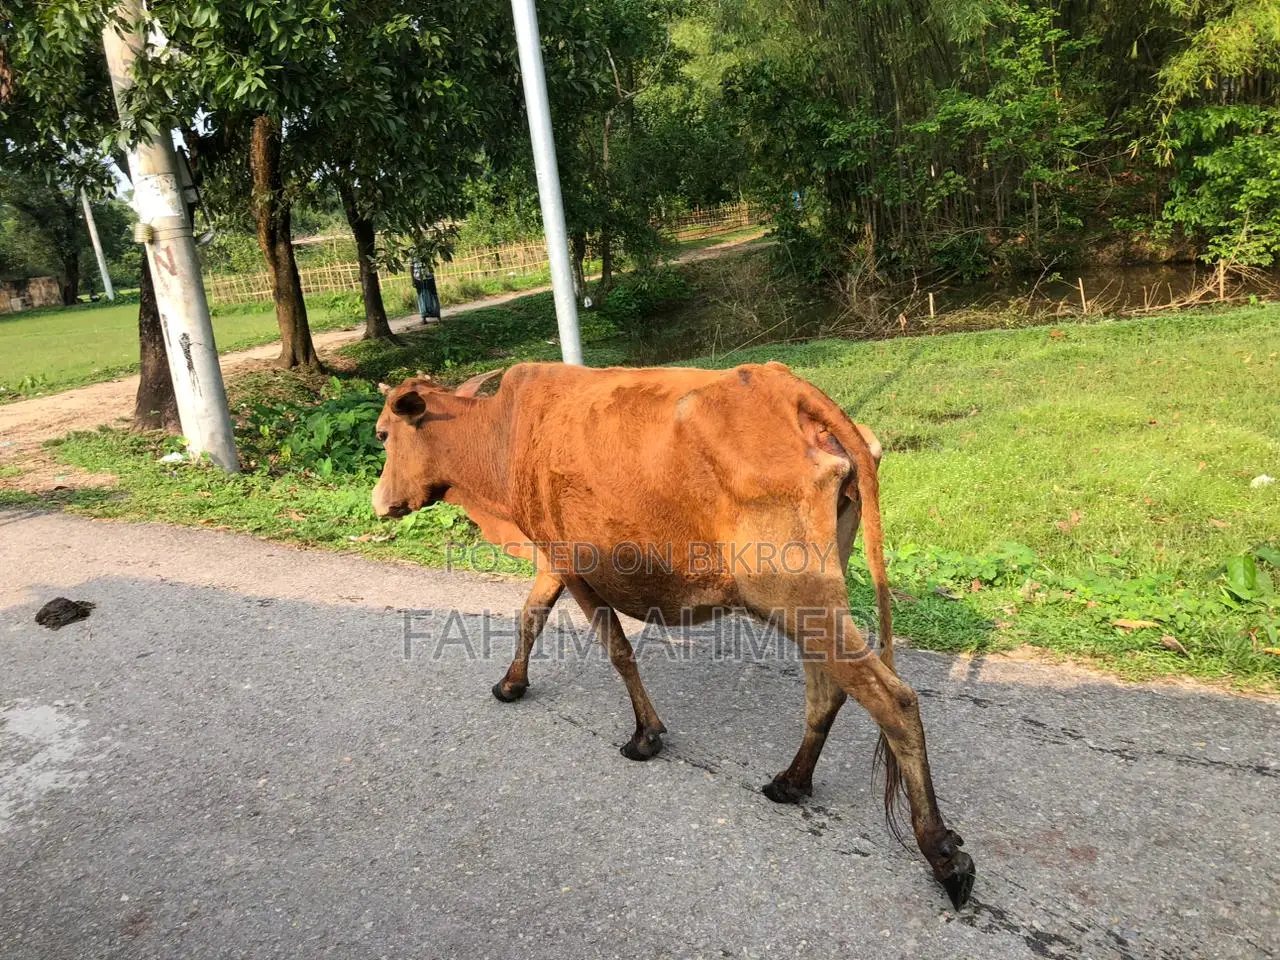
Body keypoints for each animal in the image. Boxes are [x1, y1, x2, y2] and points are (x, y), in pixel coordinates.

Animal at [371, 360, 975, 908]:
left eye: (382, 434)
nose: (379, 502)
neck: (499, 435)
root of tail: (787, 386)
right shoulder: (554, 562)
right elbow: (531, 617)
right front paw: (511, 683)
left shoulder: (570, 563)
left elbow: (615, 649)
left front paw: (645, 735)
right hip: (816, 592)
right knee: (828, 690)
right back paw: (792, 781)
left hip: (789, 592)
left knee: (892, 700)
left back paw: (943, 855)